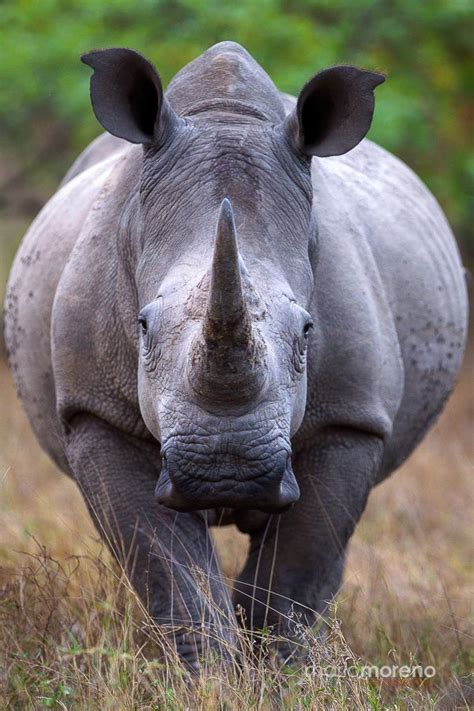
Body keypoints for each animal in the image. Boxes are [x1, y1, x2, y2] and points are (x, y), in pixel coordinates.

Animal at [3, 41, 468, 668]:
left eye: (307, 331)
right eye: (143, 328)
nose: (228, 472)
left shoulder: (350, 419)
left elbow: (291, 578)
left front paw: (276, 673)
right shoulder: (96, 411)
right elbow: (172, 574)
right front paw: (212, 676)